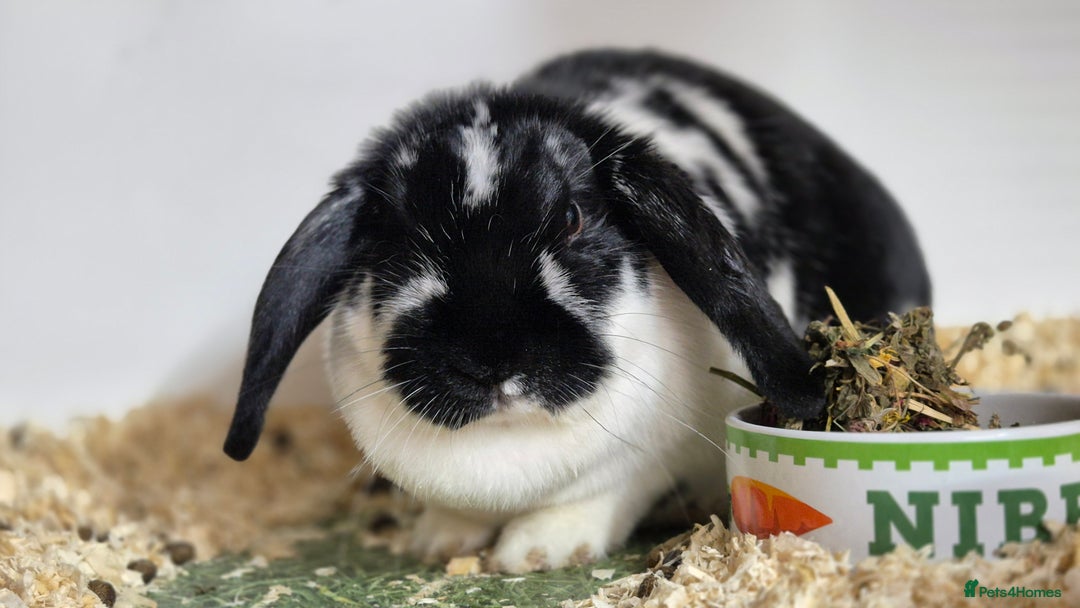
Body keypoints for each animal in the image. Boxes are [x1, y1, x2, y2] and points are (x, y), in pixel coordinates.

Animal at [223, 49, 931, 572]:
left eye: (570, 219)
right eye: (395, 240)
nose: (492, 359)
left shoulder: (645, 462)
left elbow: (602, 495)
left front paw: (535, 552)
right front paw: (439, 540)